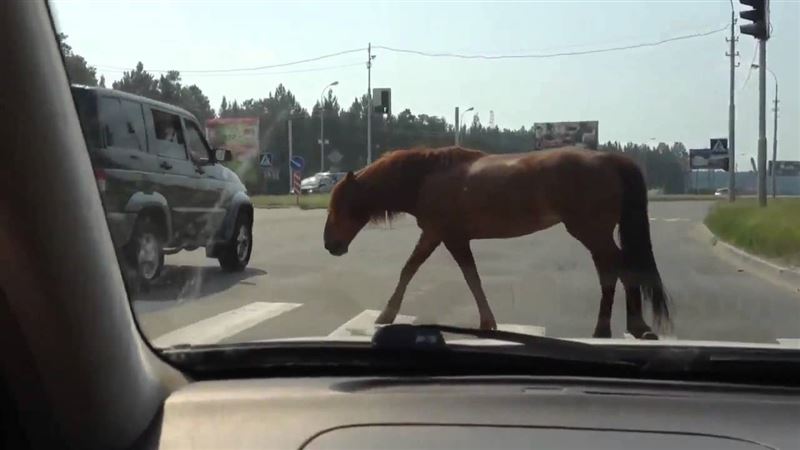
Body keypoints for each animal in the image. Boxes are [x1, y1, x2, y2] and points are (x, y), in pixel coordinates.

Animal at [324, 146, 668, 340]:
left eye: (341, 204)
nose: (330, 244)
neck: (427, 176)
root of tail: (610, 159)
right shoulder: (444, 236)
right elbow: (465, 276)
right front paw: (487, 322)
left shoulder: (444, 235)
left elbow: (417, 269)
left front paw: (386, 315)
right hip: (594, 233)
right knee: (610, 270)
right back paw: (610, 329)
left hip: (590, 230)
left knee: (618, 268)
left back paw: (632, 326)